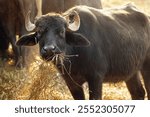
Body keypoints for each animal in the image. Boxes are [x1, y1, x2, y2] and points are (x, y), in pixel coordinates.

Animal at [16, 3, 150, 99]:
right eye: (39, 32)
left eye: (61, 32)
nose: (49, 49)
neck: (75, 59)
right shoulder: (71, 82)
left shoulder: (96, 78)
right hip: (131, 71)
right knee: (138, 93)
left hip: (146, 67)